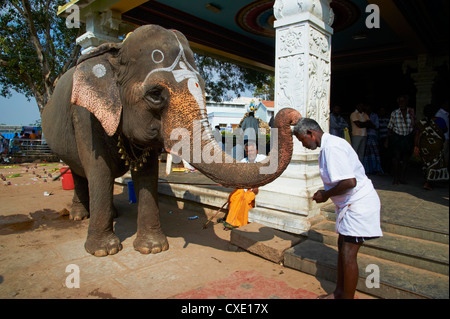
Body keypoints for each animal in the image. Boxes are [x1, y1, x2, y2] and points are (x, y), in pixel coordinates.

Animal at [41, 25, 302, 260]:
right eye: (155, 94)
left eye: (205, 88)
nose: (292, 117)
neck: (116, 52)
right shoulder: (84, 116)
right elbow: (99, 170)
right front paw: (103, 251)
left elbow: (147, 173)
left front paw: (153, 248)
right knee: (78, 170)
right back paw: (79, 215)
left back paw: (111, 214)